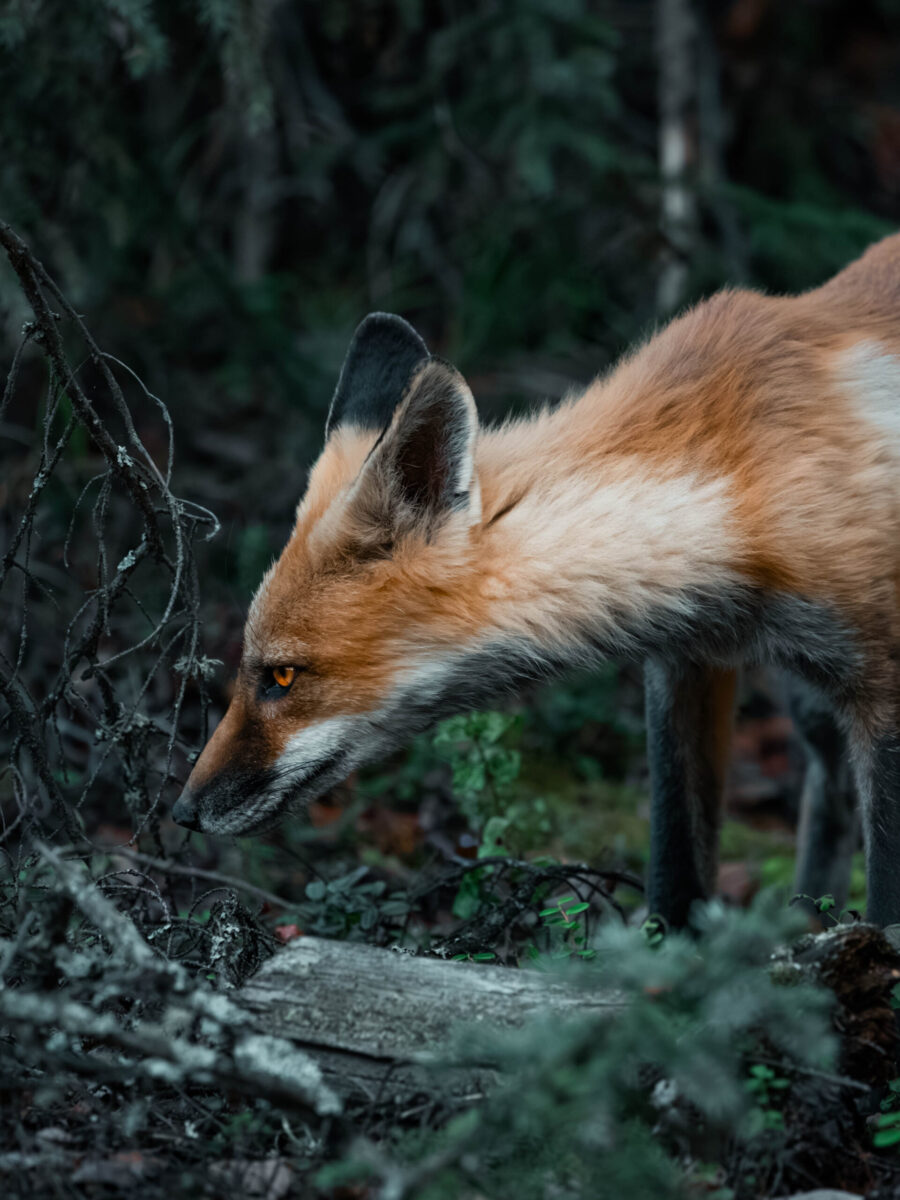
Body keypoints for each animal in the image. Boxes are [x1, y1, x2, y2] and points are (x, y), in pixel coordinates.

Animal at [174, 233, 900, 929]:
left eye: (282, 676)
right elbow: (676, 869)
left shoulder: (883, 686)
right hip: (808, 704)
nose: (182, 813)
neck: (741, 491)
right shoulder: (687, 662)